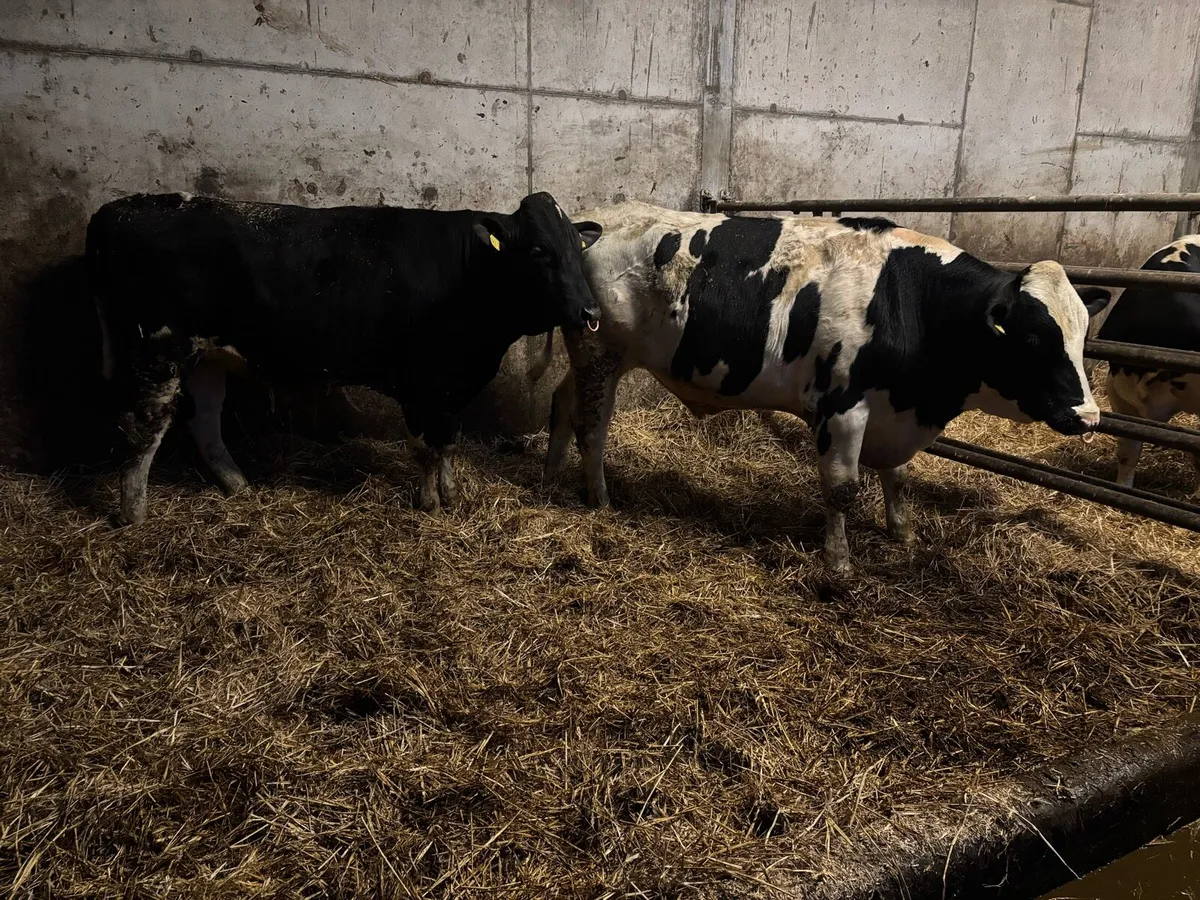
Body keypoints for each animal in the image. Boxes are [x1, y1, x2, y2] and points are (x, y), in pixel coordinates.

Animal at [88, 191, 602, 525]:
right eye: (538, 251)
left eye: (577, 248)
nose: (590, 311)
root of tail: (122, 207)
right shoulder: (423, 380)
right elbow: (425, 447)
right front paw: (428, 503)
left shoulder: (453, 382)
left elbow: (448, 441)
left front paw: (452, 494)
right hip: (157, 352)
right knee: (145, 427)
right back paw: (134, 515)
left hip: (206, 356)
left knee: (204, 420)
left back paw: (237, 486)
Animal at [542, 202, 1112, 571]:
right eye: (1034, 338)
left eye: (1084, 332)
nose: (1086, 416)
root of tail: (594, 220)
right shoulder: (843, 407)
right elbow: (843, 488)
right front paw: (838, 566)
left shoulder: (893, 413)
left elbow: (898, 476)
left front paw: (902, 533)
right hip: (602, 352)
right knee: (591, 425)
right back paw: (599, 499)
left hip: (589, 355)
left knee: (560, 401)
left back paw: (549, 478)